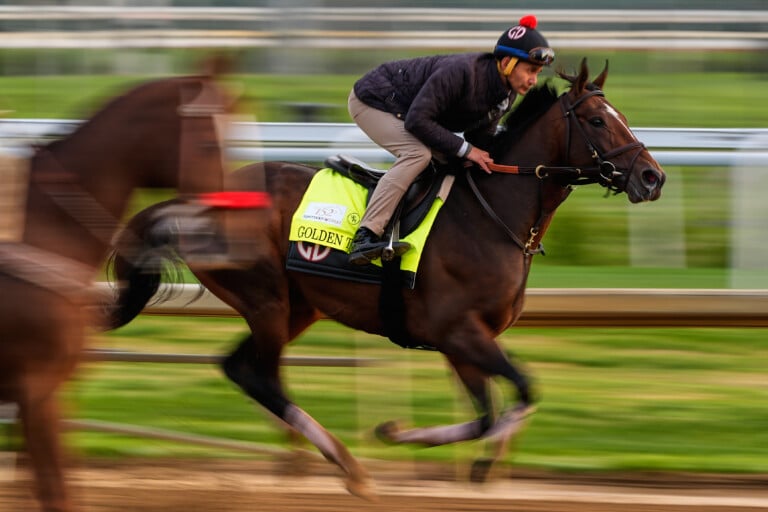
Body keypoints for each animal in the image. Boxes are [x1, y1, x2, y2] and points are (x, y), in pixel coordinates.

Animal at [0, 68, 239, 511]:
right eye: (208, 143)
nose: (228, 230)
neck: (38, 233)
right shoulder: (36, 389)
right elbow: (56, 491)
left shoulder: (49, 391)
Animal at [103, 59, 665, 499]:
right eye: (597, 120)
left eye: (622, 116)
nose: (652, 177)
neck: (491, 214)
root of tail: (197, 201)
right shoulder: (458, 331)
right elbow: (521, 391)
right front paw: (432, 445)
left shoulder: (464, 341)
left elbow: (491, 411)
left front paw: (429, 445)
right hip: (267, 300)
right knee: (260, 377)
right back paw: (348, 466)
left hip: (296, 307)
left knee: (240, 368)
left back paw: (344, 463)